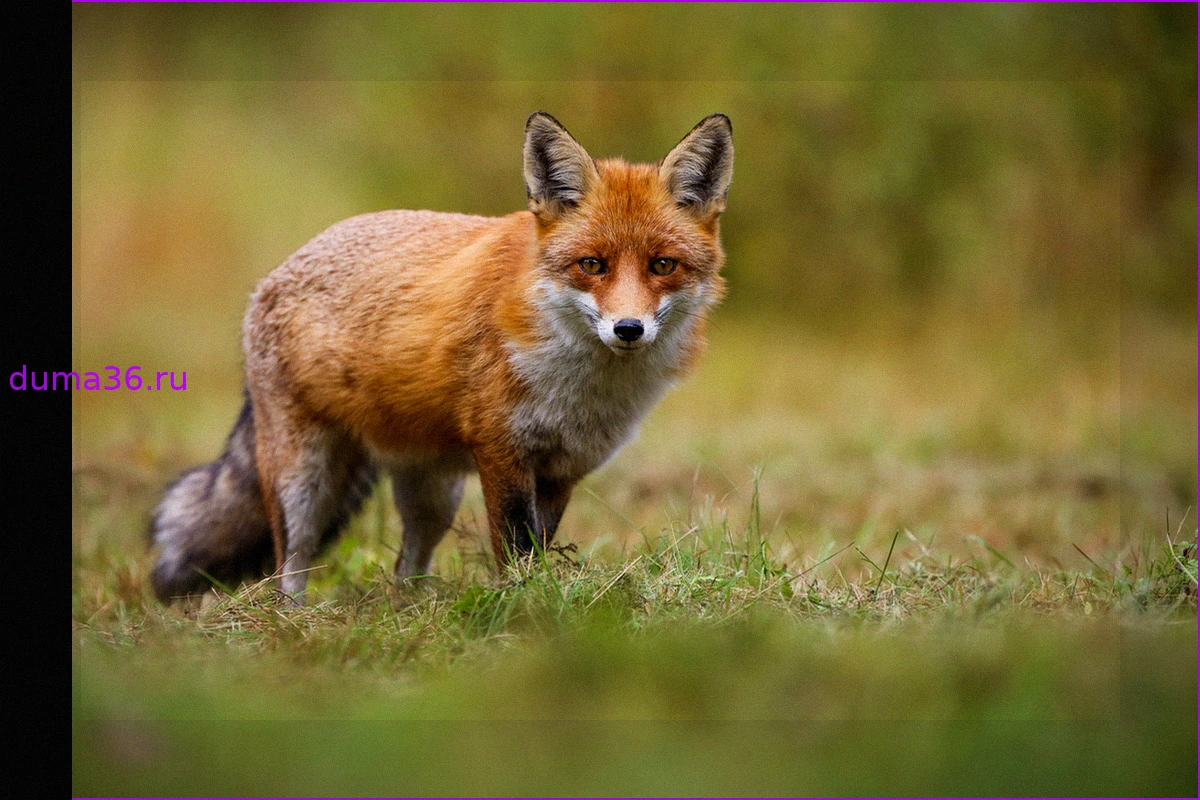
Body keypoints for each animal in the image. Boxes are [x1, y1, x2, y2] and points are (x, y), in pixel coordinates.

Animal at [148, 111, 734, 603]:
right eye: (592, 264)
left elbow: (539, 547)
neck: (582, 387)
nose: (628, 329)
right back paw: (293, 621)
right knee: (288, 565)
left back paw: (409, 614)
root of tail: (274, 273)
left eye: (662, 265)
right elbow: (516, 549)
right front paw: (523, 607)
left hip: (434, 495)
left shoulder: (563, 467)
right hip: (303, 479)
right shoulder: (501, 450)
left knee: (406, 567)